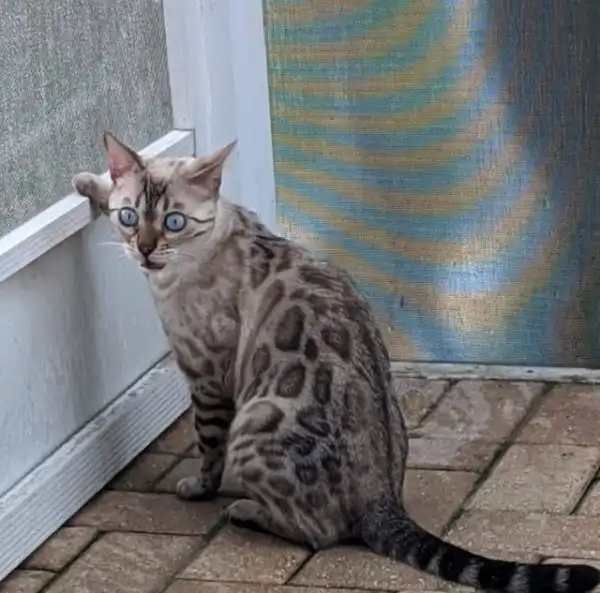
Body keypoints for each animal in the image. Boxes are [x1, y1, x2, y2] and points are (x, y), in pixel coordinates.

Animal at [73, 132, 599, 593]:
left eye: (174, 223)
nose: (143, 249)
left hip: (256, 419)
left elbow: (207, 447)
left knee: (319, 533)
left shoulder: (207, 377)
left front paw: (199, 487)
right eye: (129, 217)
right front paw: (87, 182)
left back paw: (244, 510)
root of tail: (384, 499)